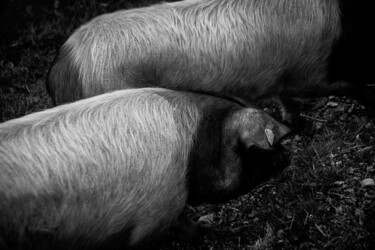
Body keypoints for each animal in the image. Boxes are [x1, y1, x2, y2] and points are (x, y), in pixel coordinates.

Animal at [46, 0, 375, 124]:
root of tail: (67, 62)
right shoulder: (310, 72)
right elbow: (350, 86)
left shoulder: (284, 76)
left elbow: (286, 101)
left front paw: (298, 124)